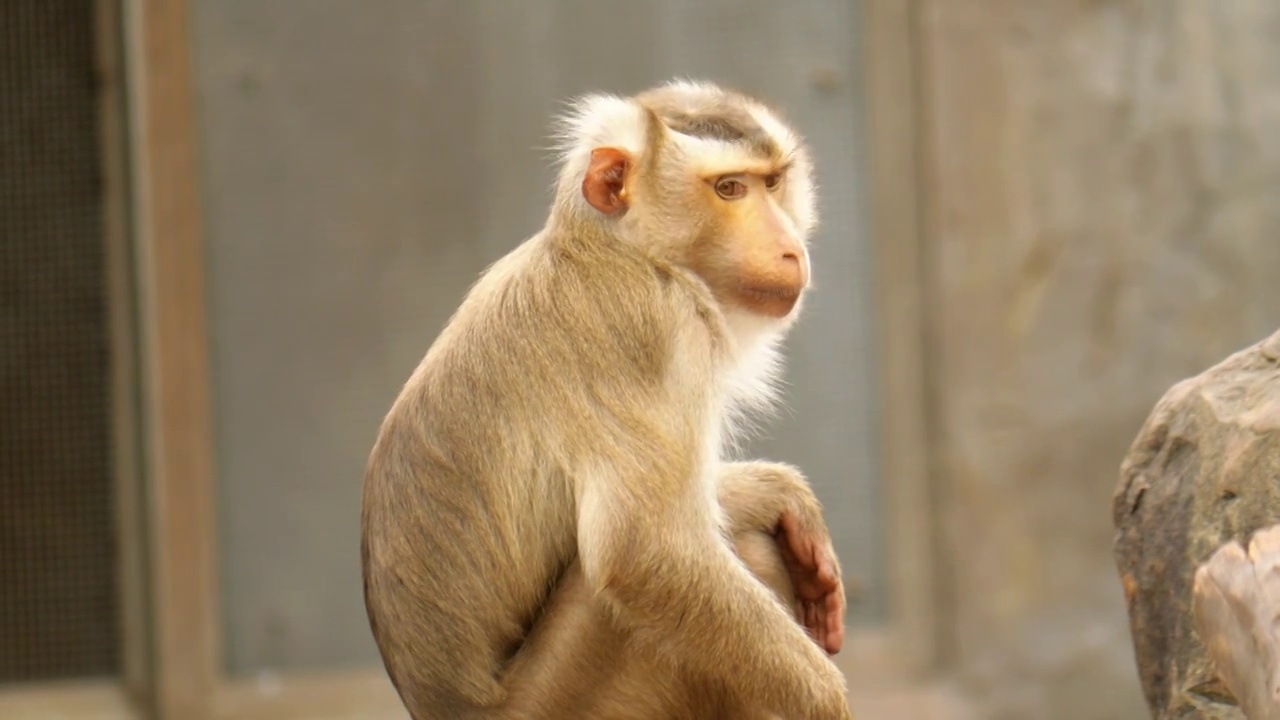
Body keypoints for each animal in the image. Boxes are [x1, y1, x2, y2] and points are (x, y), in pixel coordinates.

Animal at [360, 78, 855, 717]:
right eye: (729, 188)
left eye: (771, 183)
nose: (791, 248)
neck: (624, 250)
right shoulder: (656, 329)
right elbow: (645, 552)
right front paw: (827, 701)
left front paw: (781, 493)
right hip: (577, 693)